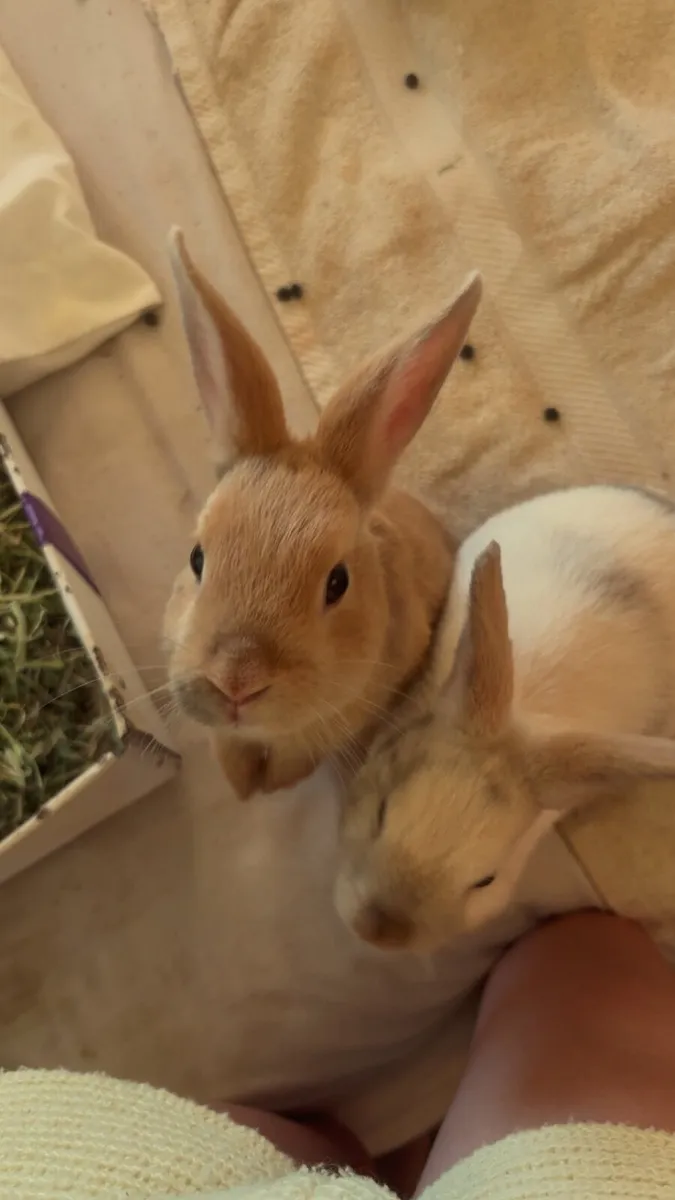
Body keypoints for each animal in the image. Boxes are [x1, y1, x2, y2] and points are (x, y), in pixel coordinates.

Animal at [163, 229, 482, 799]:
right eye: (197, 558)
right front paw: (239, 784)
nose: (237, 680)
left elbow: (294, 759)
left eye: (338, 583)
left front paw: (262, 788)